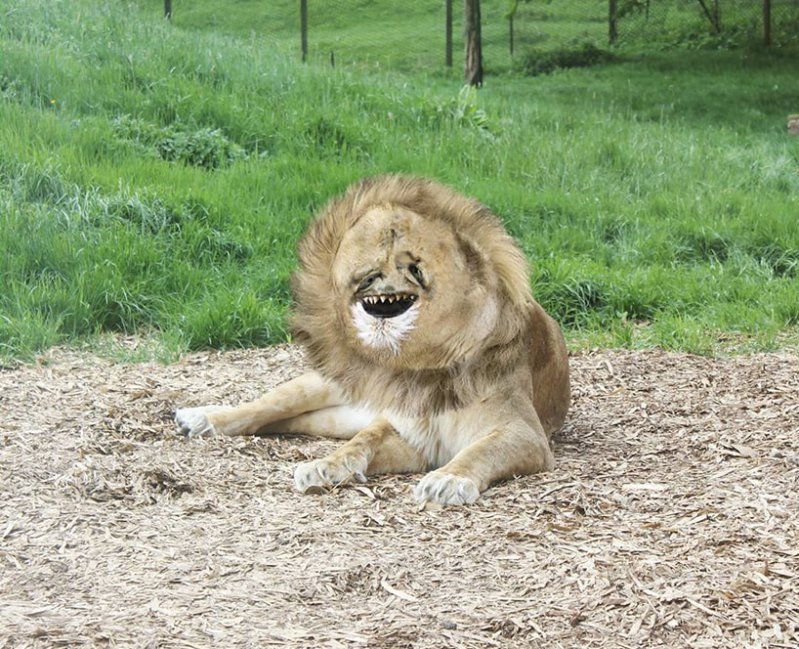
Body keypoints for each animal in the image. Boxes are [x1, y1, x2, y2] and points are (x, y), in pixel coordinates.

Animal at [178, 175, 572, 504]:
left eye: (415, 266)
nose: (368, 281)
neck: (426, 369)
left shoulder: (523, 432)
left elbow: (479, 451)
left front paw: (448, 480)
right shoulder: (405, 432)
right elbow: (363, 441)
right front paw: (325, 466)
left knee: (289, 422)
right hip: (320, 386)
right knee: (262, 409)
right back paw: (198, 417)